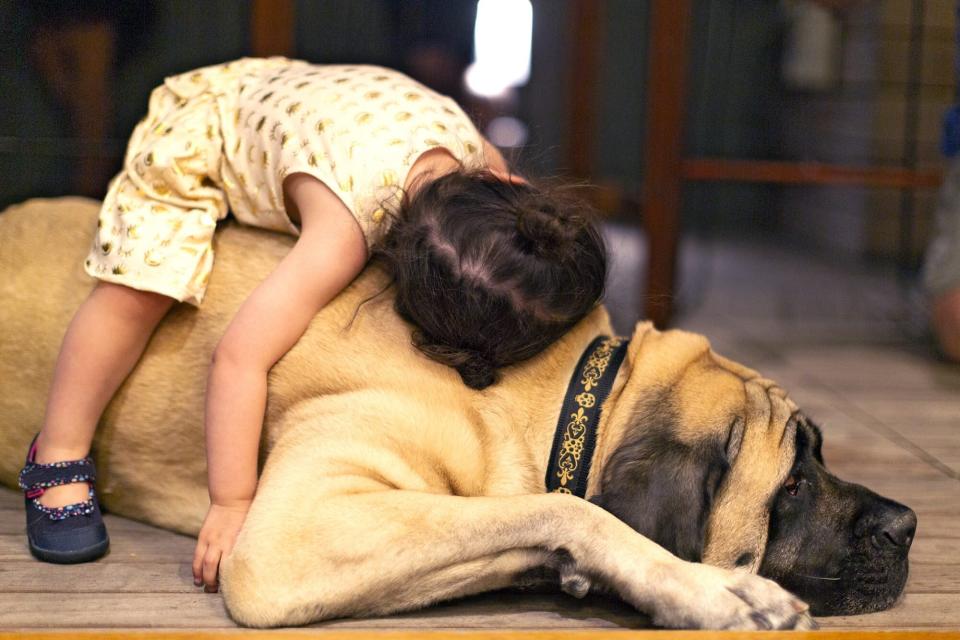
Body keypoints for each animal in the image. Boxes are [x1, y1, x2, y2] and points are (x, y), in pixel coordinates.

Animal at [0, 200, 916, 632]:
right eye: (791, 486)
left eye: (819, 458)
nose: (908, 526)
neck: (559, 392)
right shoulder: (293, 534)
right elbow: (567, 508)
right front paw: (707, 590)